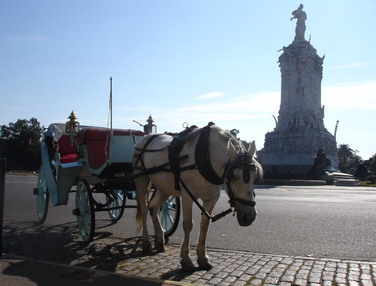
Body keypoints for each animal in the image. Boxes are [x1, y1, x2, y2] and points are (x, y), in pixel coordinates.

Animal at [134, 122, 262, 270]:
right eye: (233, 176)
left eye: (255, 177)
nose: (249, 216)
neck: (206, 155)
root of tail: (147, 137)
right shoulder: (187, 195)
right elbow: (188, 224)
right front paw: (186, 259)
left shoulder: (212, 198)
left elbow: (205, 225)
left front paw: (202, 258)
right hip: (141, 180)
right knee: (144, 209)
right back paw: (146, 243)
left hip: (163, 187)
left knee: (153, 208)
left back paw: (160, 240)